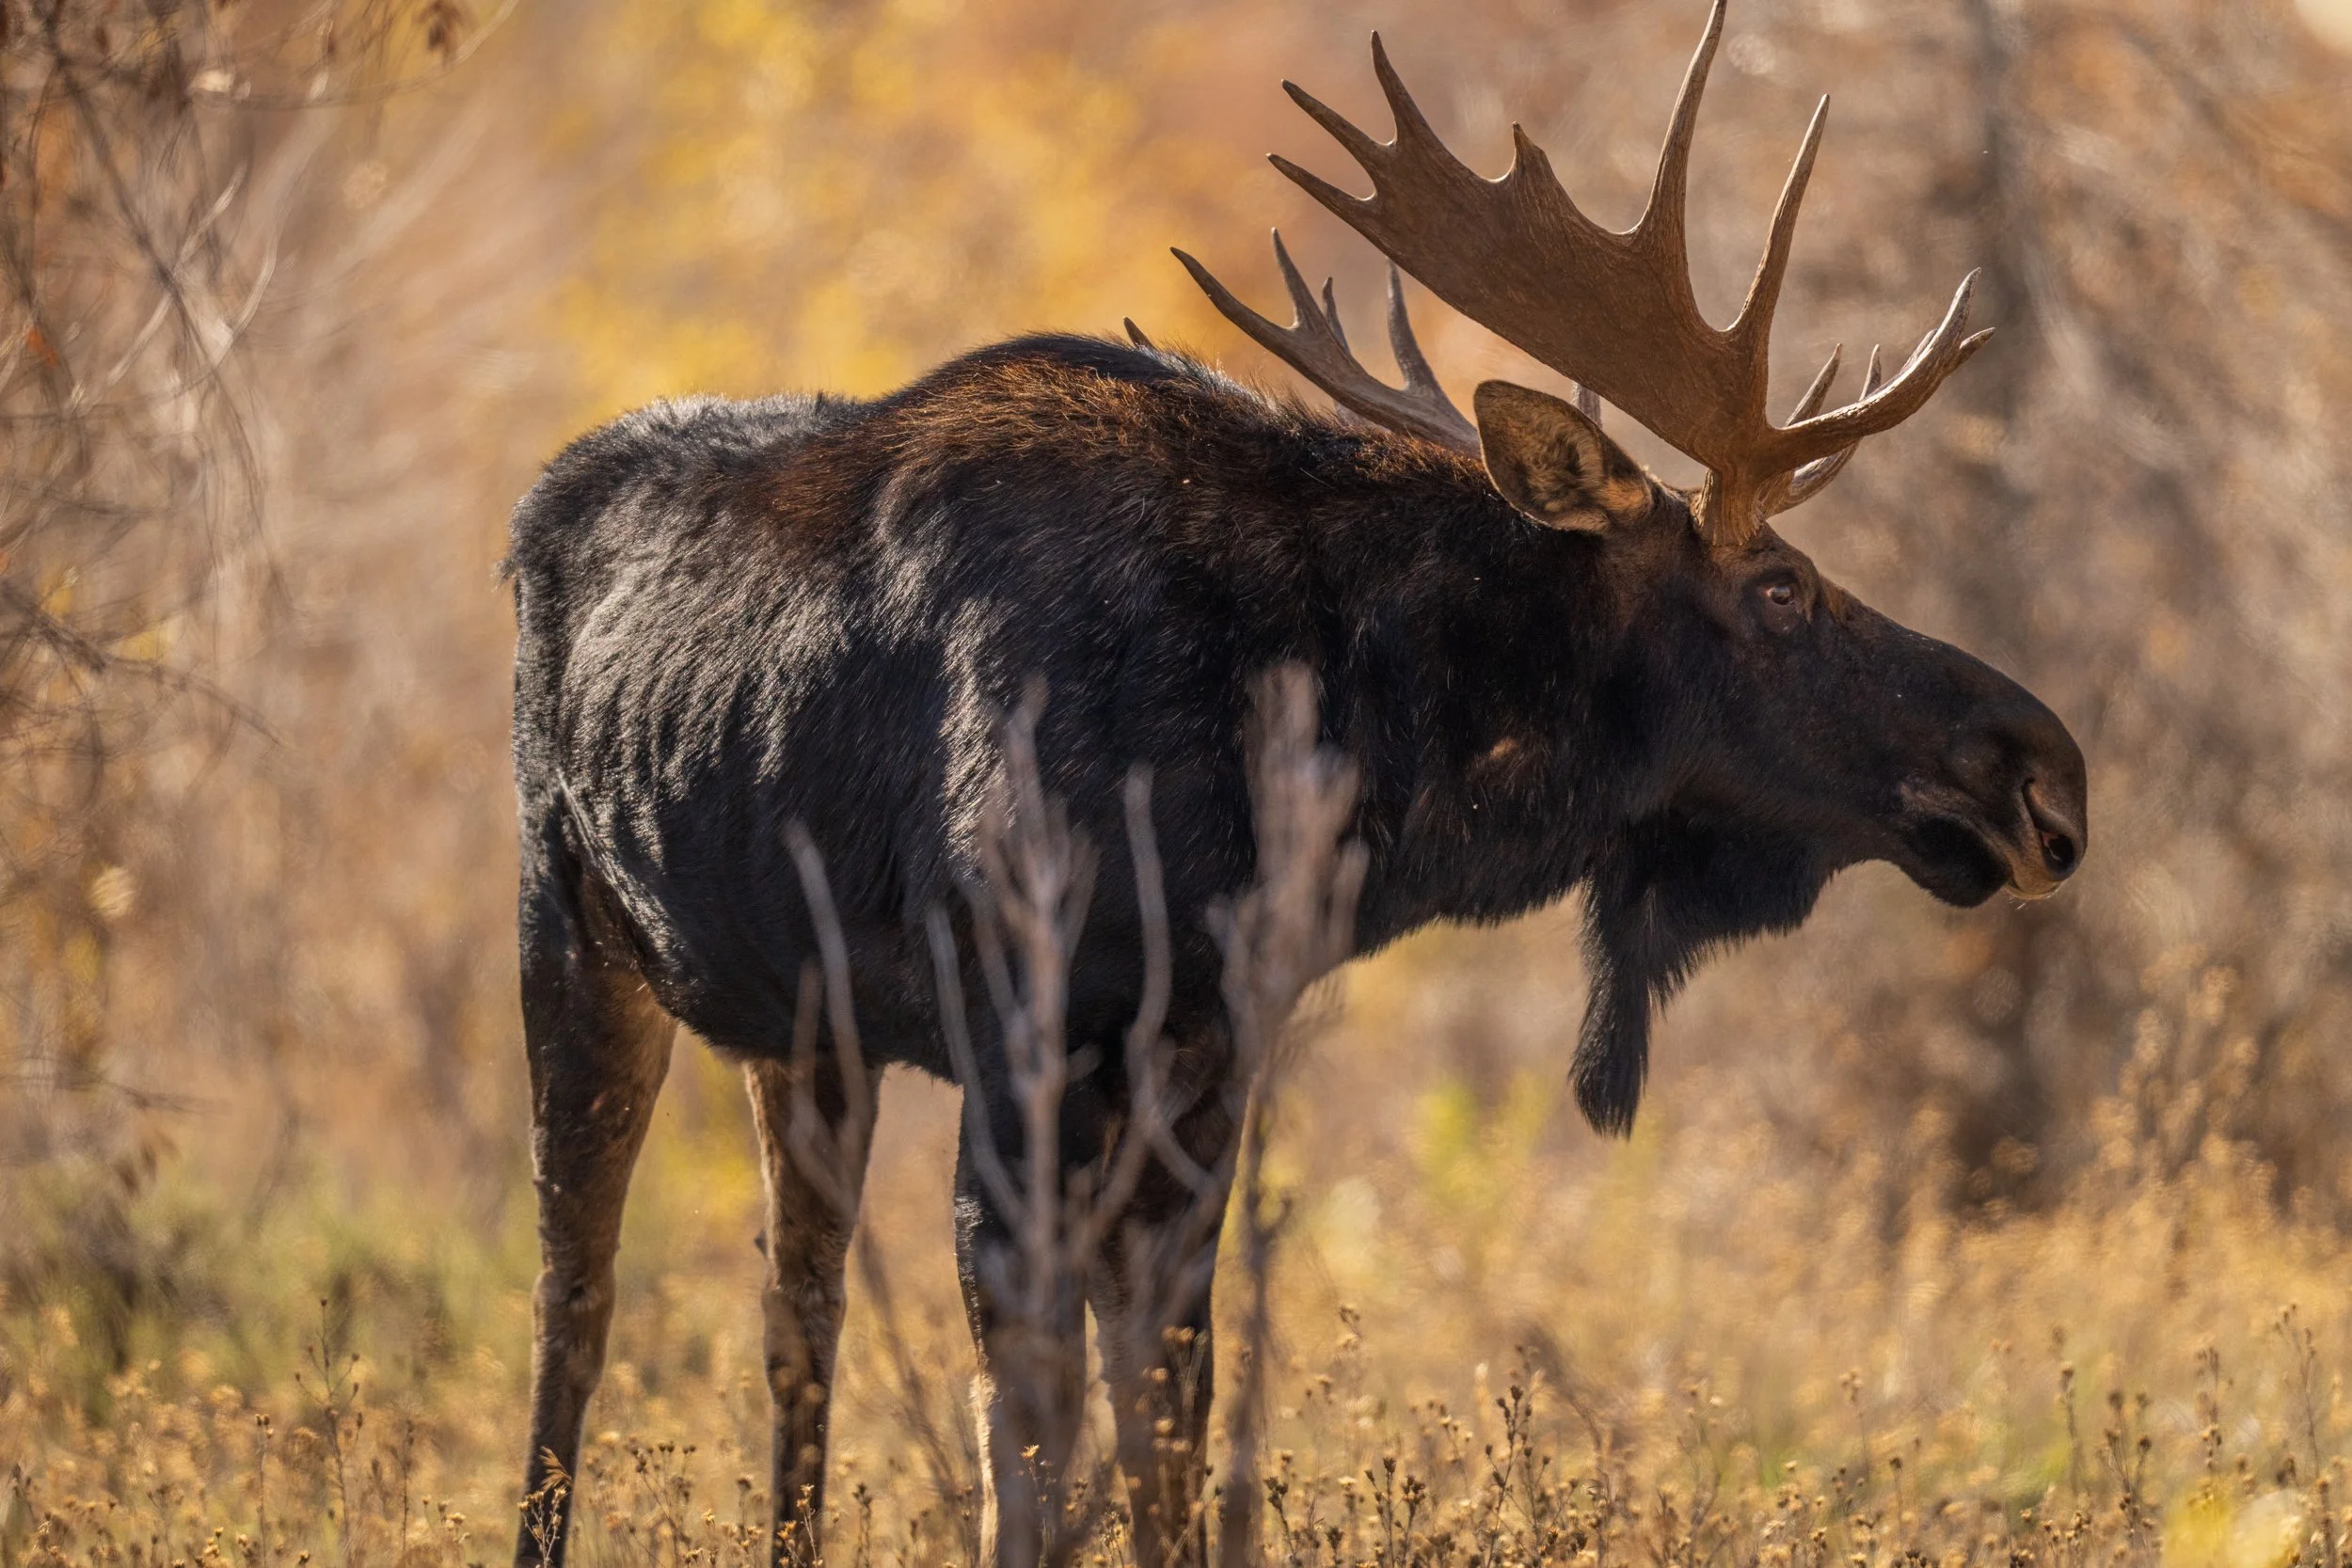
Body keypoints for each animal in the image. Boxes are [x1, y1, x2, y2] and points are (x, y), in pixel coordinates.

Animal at [502, 5, 2087, 1567]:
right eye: (1781, 588)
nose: (2045, 772)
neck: (1317, 729)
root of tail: (541, 502)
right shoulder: (1018, 1032)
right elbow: (1031, 1441)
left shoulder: (1208, 1052)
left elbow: (1169, 1415)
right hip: (574, 939)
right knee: (574, 1303)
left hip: (806, 1036)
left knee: (796, 1308)